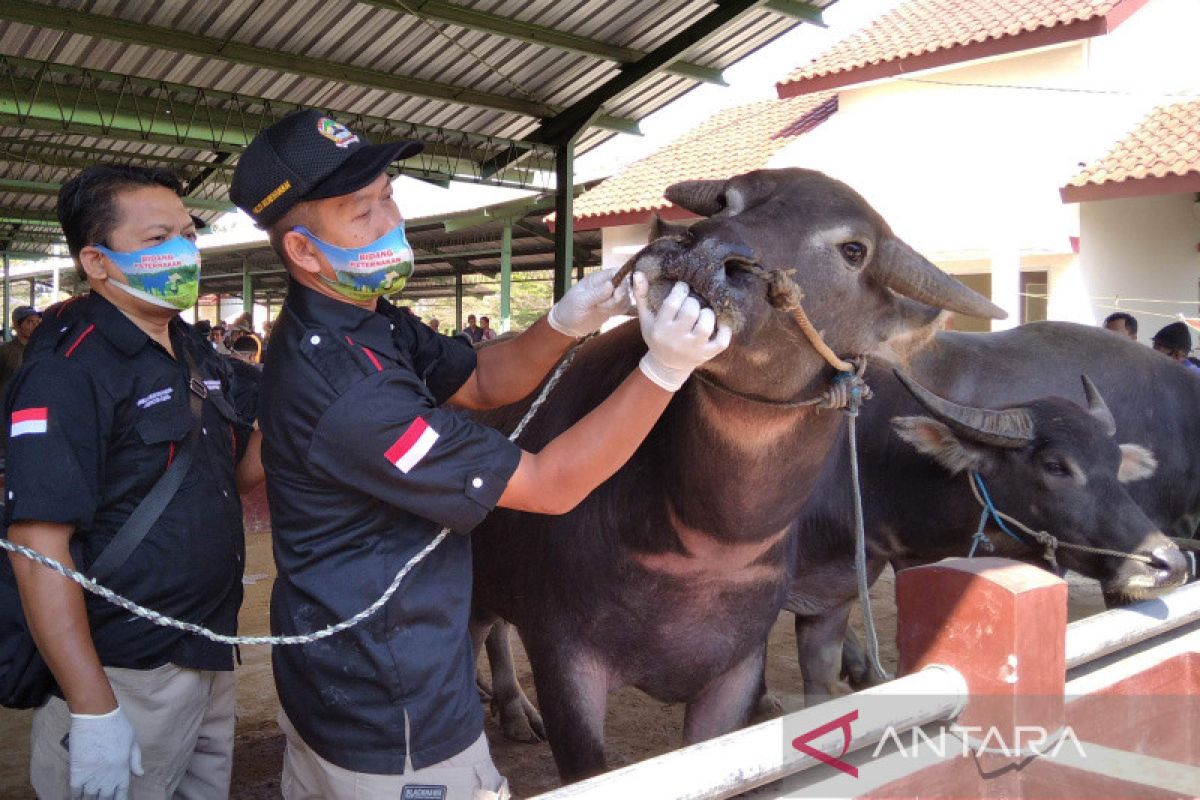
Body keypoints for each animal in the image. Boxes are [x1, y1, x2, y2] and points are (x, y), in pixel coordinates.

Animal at [468, 169, 1003, 782]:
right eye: (727, 201)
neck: (708, 542)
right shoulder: (564, 659)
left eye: (853, 250)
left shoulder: (737, 670)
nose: (701, 254)